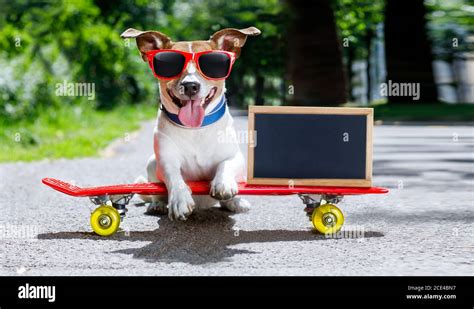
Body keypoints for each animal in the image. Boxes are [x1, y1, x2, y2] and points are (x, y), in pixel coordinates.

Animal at [120, 25, 262, 219]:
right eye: (170, 64)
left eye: (213, 64)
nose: (190, 86)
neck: (196, 129)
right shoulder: (166, 160)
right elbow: (174, 176)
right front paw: (179, 198)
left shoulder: (236, 157)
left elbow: (226, 164)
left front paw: (223, 183)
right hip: (151, 163)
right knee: (156, 193)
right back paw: (157, 205)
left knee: (229, 198)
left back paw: (236, 202)